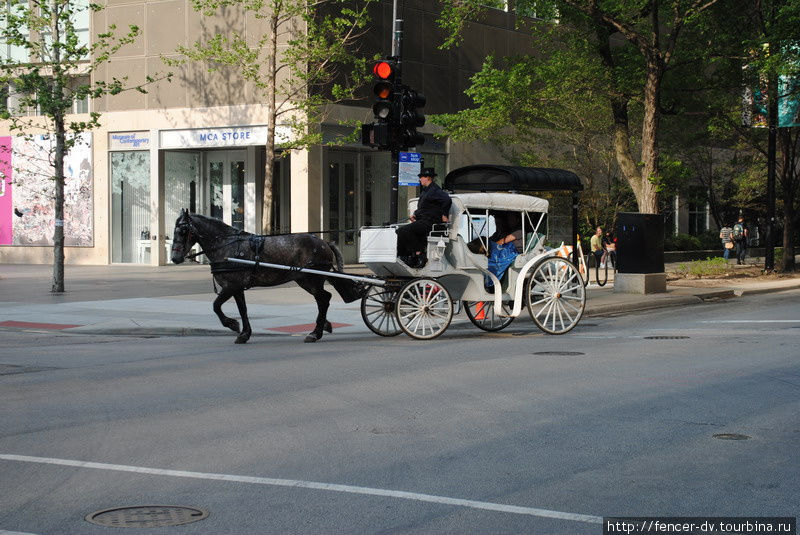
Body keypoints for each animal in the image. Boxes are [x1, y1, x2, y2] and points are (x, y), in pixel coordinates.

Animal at [173, 209, 364, 344]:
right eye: (175, 230)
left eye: (183, 230)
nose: (175, 258)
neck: (226, 246)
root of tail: (324, 242)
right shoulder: (237, 288)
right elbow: (243, 309)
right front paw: (244, 333)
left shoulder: (230, 286)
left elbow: (216, 305)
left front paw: (232, 324)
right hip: (305, 280)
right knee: (323, 299)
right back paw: (323, 326)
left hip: (312, 279)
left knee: (324, 300)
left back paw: (315, 333)